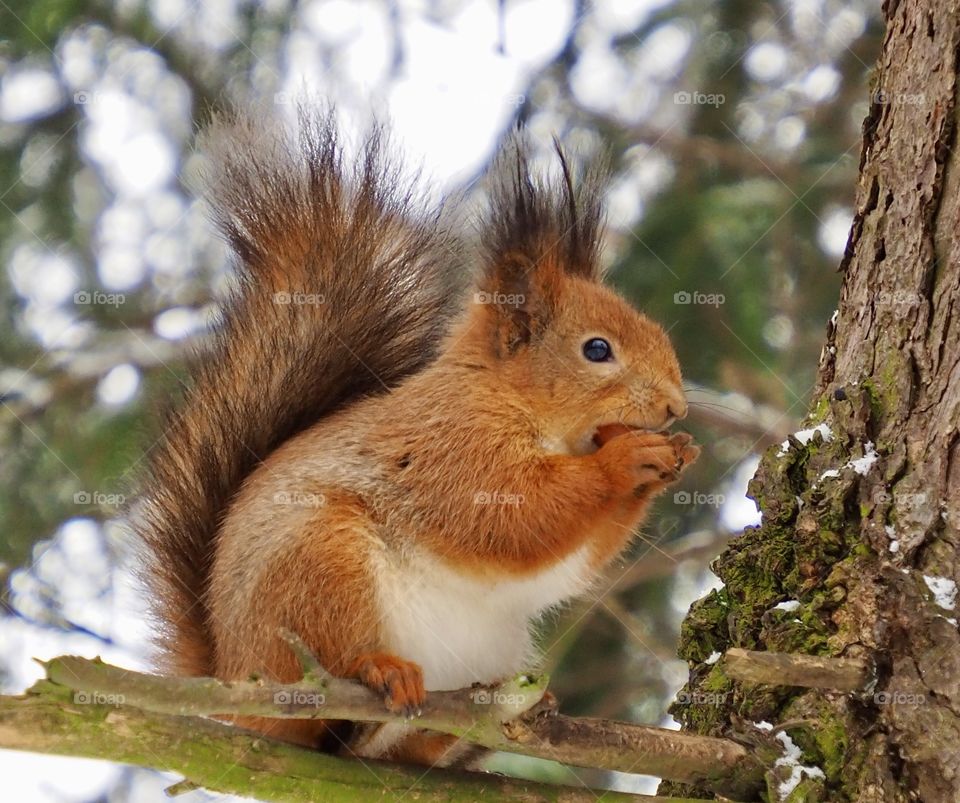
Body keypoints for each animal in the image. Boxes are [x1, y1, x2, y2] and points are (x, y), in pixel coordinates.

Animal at [135, 108, 699, 768]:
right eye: (598, 350)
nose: (675, 406)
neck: (512, 398)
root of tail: (231, 676)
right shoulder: (452, 443)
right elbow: (512, 518)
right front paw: (625, 460)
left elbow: (567, 563)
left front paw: (675, 459)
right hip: (317, 567)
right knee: (330, 677)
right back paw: (380, 674)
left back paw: (462, 729)